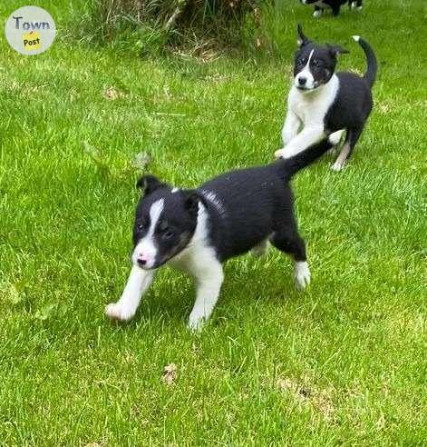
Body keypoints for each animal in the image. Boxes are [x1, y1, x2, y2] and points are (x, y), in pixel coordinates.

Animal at [105, 138, 336, 330]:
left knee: (299, 246)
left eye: (168, 232)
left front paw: (193, 328)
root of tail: (274, 171)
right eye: (140, 226)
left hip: (282, 231)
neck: (186, 247)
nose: (140, 259)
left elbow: (203, 305)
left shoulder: (210, 273)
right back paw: (259, 250)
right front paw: (122, 310)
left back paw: (302, 277)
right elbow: (135, 283)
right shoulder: (152, 256)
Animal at [274, 25, 378, 172]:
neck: (308, 96)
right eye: (300, 62)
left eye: (317, 65)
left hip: (357, 125)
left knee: (348, 147)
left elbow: (298, 140)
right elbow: (287, 133)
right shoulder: (293, 114)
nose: (301, 80)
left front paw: (286, 152)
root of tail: (365, 81)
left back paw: (337, 166)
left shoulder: (315, 126)